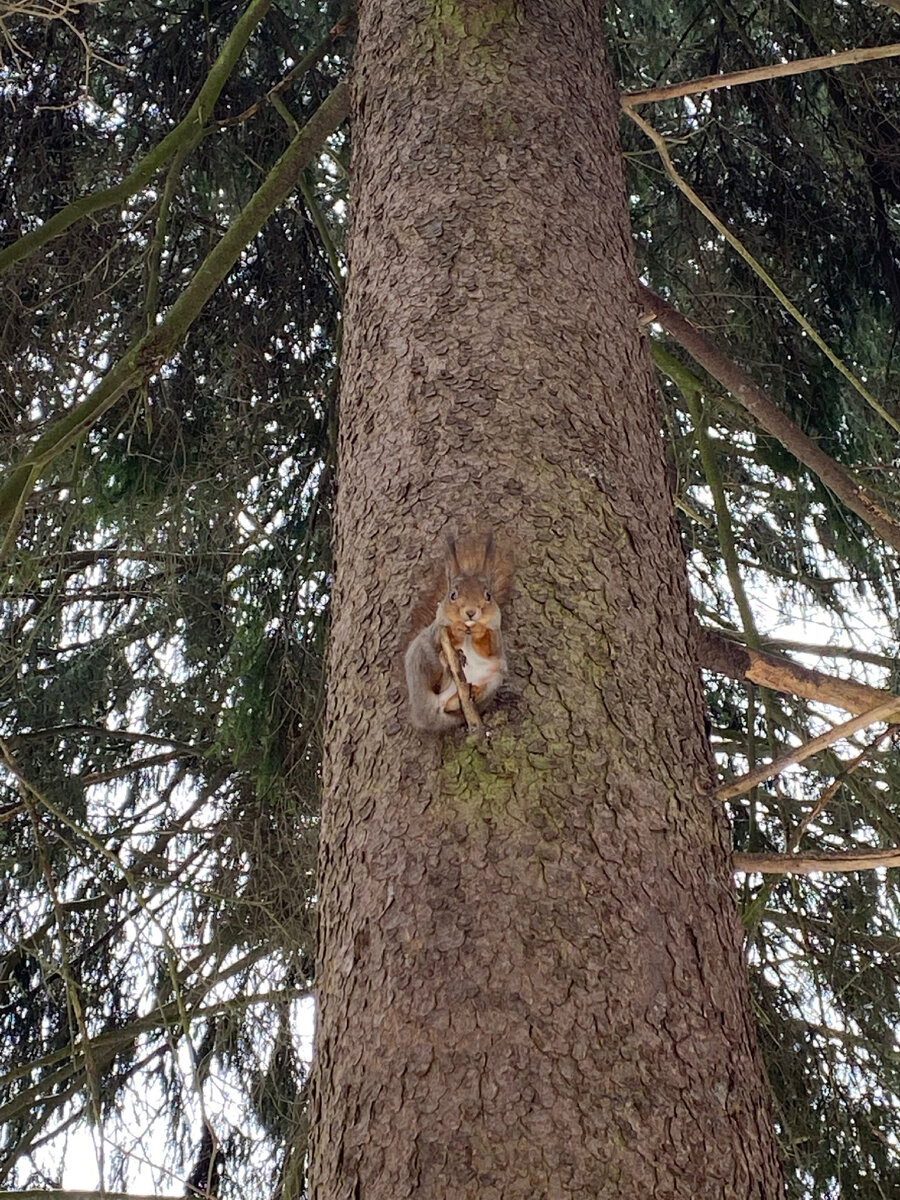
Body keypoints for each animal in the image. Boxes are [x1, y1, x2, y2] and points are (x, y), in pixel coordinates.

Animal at [408, 535, 511, 729]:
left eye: (488, 595)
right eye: (453, 595)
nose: (471, 612)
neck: (467, 631)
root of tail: (428, 716)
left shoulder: (496, 635)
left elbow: (491, 646)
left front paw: (479, 629)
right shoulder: (437, 628)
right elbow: (441, 635)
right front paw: (456, 628)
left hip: (495, 675)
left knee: (452, 705)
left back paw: (472, 692)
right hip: (423, 656)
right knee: (437, 676)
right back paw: (446, 662)